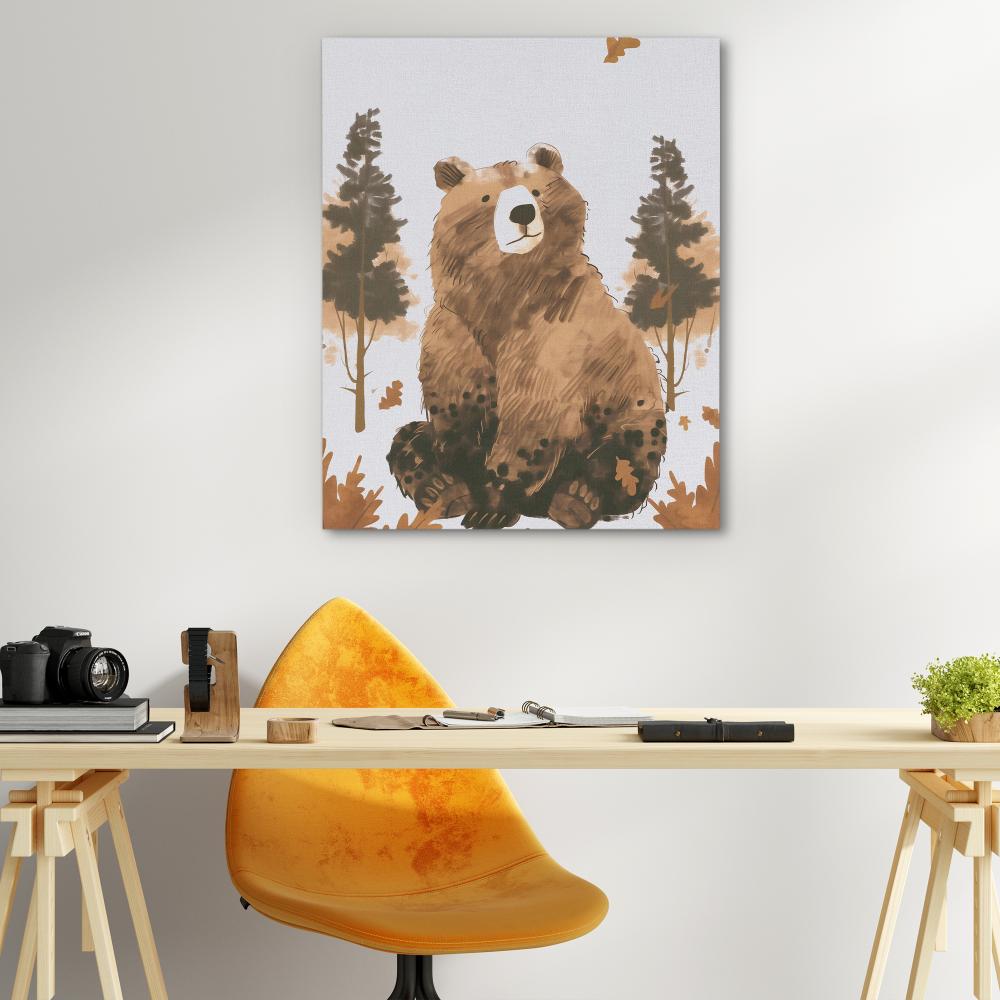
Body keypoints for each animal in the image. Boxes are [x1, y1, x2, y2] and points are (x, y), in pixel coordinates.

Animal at [388, 143, 666, 529]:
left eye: (536, 190)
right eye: (487, 197)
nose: (521, 211)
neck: (508, 291)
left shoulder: (555, 335)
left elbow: (532, 413)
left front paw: (493, 504)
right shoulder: (458, 328)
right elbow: (457, 405)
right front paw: (461, 483)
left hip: (631, 413)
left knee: (623, 457)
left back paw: (576, 499)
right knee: (407, 437)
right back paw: (441, 489)